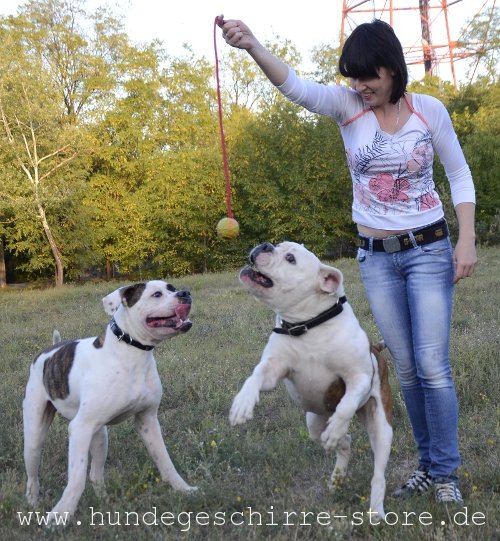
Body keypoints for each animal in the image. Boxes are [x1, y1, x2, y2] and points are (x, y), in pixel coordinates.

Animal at [23, 280, 196, 524]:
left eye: (172, 288)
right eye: (156, 294)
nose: (185, 293)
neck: (131, 351)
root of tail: (48, 351)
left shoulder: (148, 421)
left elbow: (165, 460)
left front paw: (183, 489)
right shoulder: (79, 428)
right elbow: (76, 477)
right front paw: (61, 515)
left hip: (99, 436)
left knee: (96, 473)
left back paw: (104, 501)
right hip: (34, 437)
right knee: (33, 475)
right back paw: (33, 503)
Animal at [231, 243, 394, 516]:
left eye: (290, 258)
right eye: (276, 245)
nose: (264, 245)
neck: (308, 325)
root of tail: (377, 349)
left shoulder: (358, 377)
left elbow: (346, 405)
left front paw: (338, 424)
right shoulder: (273, 369)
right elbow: (254, 378)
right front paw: (242, 404)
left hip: (381, 427)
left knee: (378, 473)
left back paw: (376, 510)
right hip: (314, 424)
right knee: (344, 443)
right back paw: (337, 477)